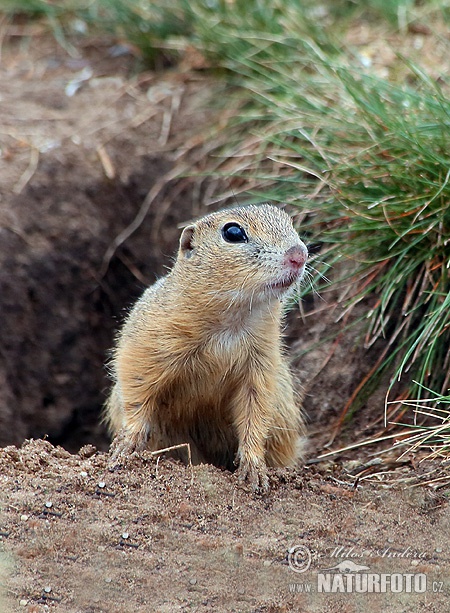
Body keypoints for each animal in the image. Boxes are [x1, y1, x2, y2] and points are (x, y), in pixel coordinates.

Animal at [106, 203, 310, 490]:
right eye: (233, 232)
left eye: (288, 221)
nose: (298, 255)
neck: (232, 322)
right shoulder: (145, 348)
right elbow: (137, 394)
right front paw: (127, 444)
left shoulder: (261, 368)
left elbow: (256, 414)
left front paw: (254, 469)